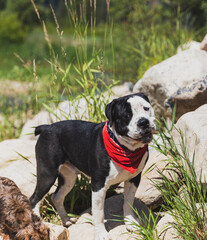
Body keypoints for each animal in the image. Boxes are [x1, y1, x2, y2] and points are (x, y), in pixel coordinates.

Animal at [30, 92, 155, 240]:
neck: (125, 148)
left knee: (56, 196)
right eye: (126, 115)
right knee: (34, 199)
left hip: (68, 178)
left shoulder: (133, 179)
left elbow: (128, 203)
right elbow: (99, 213)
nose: (143, 122)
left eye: (146, 108)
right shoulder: (98, 185)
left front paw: (130, 223)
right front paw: (101, 234)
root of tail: (46, 127)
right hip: (47, 174)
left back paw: (66, 220)